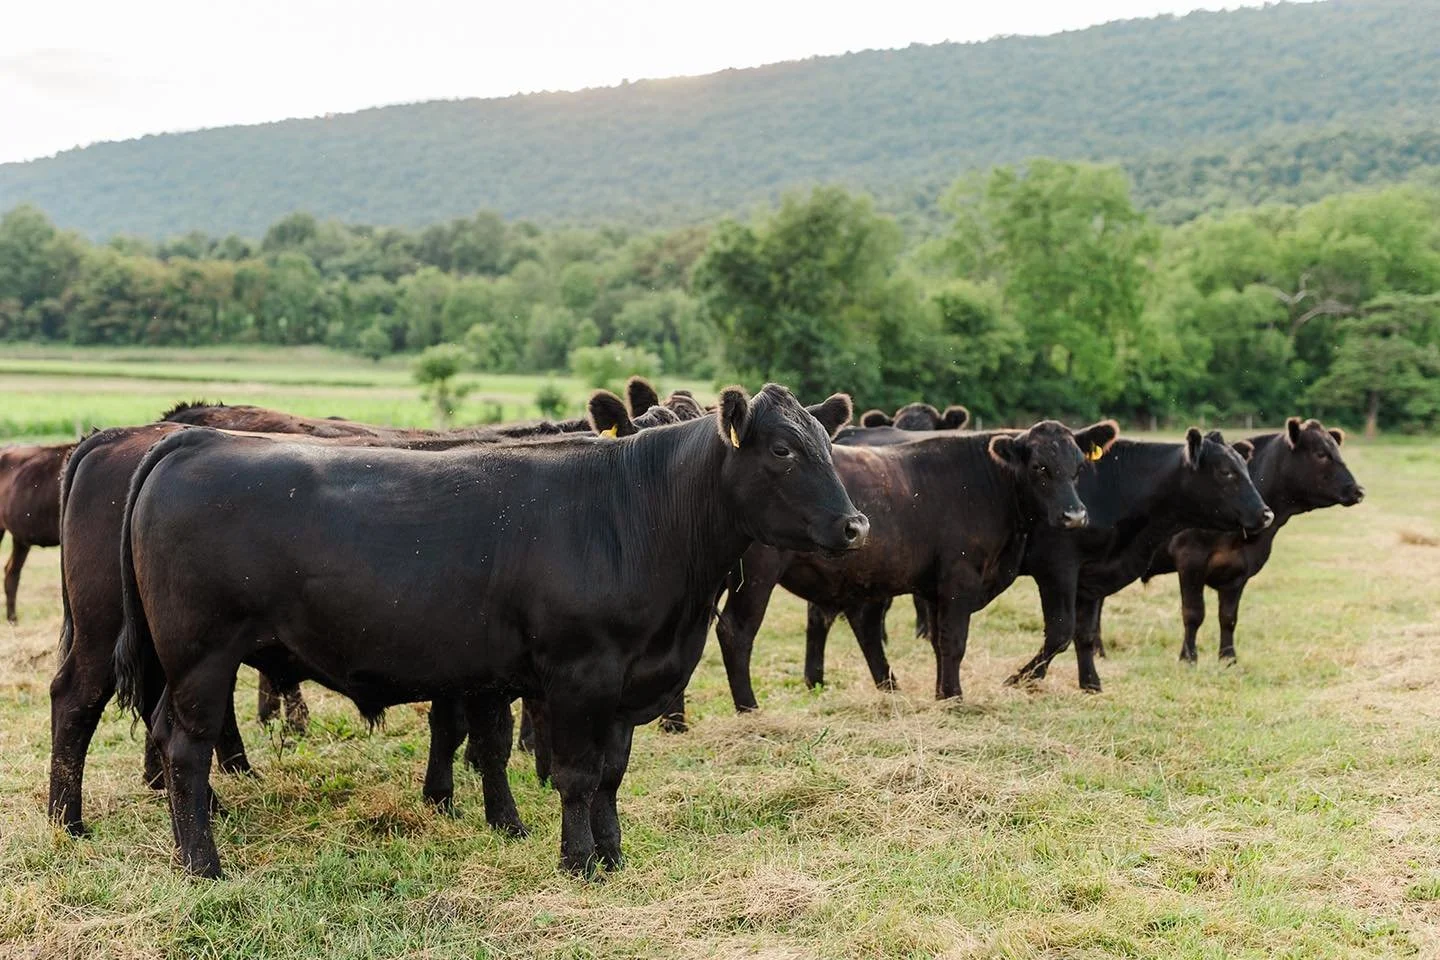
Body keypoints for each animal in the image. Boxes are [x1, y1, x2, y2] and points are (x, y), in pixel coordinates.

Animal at [114, 384, 866, 877]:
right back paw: (203, 864)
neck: (637, 514)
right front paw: (577, 861)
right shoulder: (579, 673)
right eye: (783, 450)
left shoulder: (626, 683)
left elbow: (610, 773)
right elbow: (576, 774)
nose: (856, 525)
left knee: (167, 734)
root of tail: (193, 439)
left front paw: (613, 855)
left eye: (829, 444)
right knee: (187, 748)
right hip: (203, 655)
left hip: (182, 664)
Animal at [1006, 429, 1274, 692]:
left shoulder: (1092, 575)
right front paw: (1023, 678)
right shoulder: (1058, 568)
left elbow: (1085, 633)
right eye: (1226, 471)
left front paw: (1091, 683)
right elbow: (1060, 631)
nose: (1266, 513)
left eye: (1245, 468)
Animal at [1133, 417, 1363, 664]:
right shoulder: (1190, 559)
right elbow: (1193, 614)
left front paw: (1228, 658)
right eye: (1320, 454)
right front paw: (1189, 659)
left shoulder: (1240, 569)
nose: (1357, 490)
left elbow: (1228, 617)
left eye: (1337, 450)